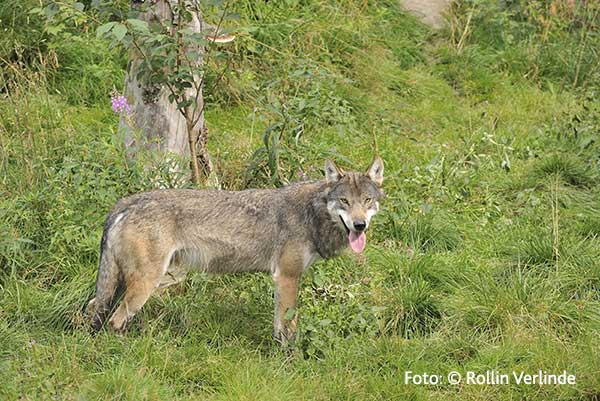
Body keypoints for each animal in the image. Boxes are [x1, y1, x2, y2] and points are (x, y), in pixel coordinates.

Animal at [86, 155, 384, 340]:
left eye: (367, 200)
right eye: (344, 201)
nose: (359, 225)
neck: (311, 213)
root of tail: (126, 203)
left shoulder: (282, 280)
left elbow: (279, 326)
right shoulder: (288, 277)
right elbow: (289, 328)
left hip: (136, 282)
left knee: (95, 309)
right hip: (147, 284)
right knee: (115, 320)